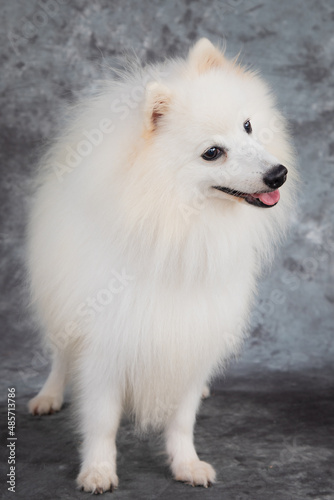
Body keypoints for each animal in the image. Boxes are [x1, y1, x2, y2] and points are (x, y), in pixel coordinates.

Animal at [27, 39, 296, 492]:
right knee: (61, 354)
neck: (178, 230)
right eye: (212, 153)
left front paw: (187, 464)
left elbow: (182, 419)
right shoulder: (107, 342)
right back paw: (48, 395)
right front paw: (98, 470)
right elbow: (101, 420)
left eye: (247, 126)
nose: (278, 174)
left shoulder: (192, 335)